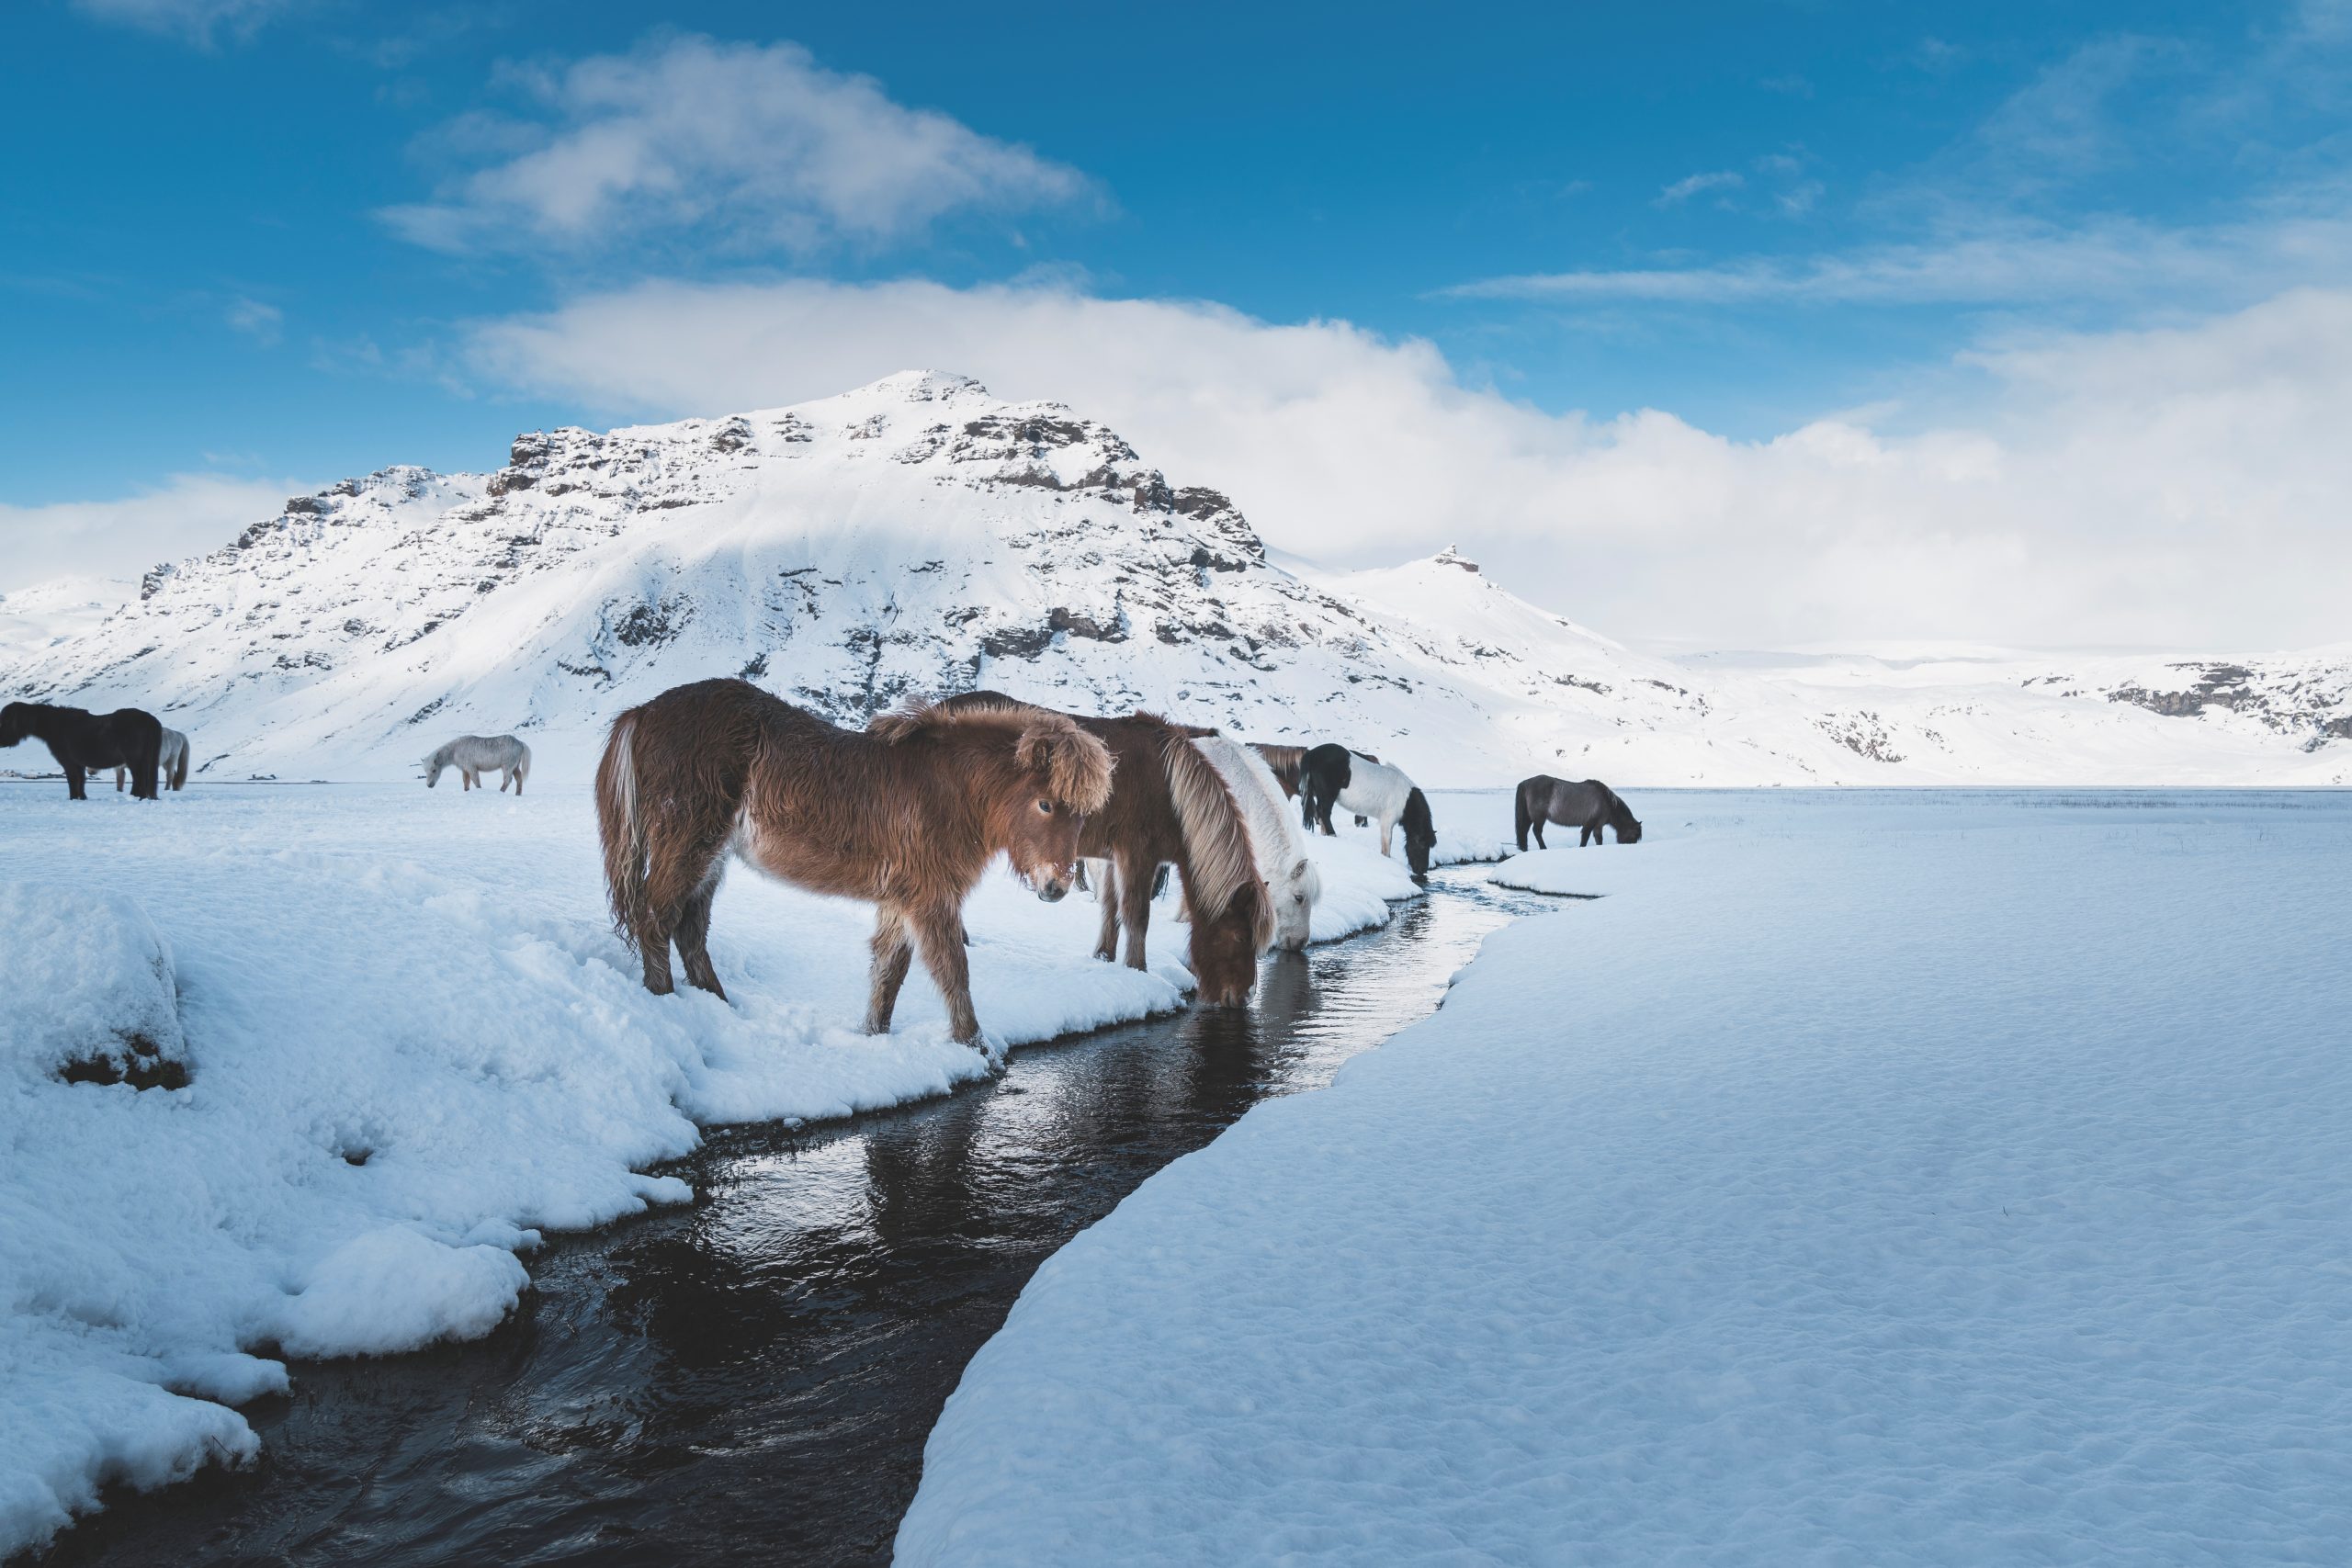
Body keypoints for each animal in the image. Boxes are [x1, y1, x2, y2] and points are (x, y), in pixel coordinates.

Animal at [1, 700, 162, 804]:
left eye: (6, 721)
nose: (1, 742)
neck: (57, 725)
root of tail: (151, 720)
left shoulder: (68, 762)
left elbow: (73, 780)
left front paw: (73, 798)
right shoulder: (78, 764)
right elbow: (81, 781)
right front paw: (81, 798)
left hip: (135, 761)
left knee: (140, 779)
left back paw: (138, 797)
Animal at [593, 682, 1114, 1048]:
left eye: (1083, 815)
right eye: (1045, 804)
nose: (1056, 887)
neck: (948, 790)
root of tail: (643, 712)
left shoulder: (900, 899)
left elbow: (888, 972)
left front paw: (873, 1039)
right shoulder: (931, 896)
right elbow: (952, 968)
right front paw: (976, 1046)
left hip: (711, 858)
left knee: (690, 932)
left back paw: (722, 1010)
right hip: (687, 846)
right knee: (655, 919)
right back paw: (665, 1003)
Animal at [1514, 771, 1646, 846]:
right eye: (1634, 835)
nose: (1628, 846)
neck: (1606, 801)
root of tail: (1526, 782)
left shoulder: (1598, 826)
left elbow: (1599, 840)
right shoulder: (1589, 824)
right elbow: (1584, 840)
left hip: (1529, 817)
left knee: (1524, 831)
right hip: (1539, 818)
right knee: (1536, 832)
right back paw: (1543, 848)